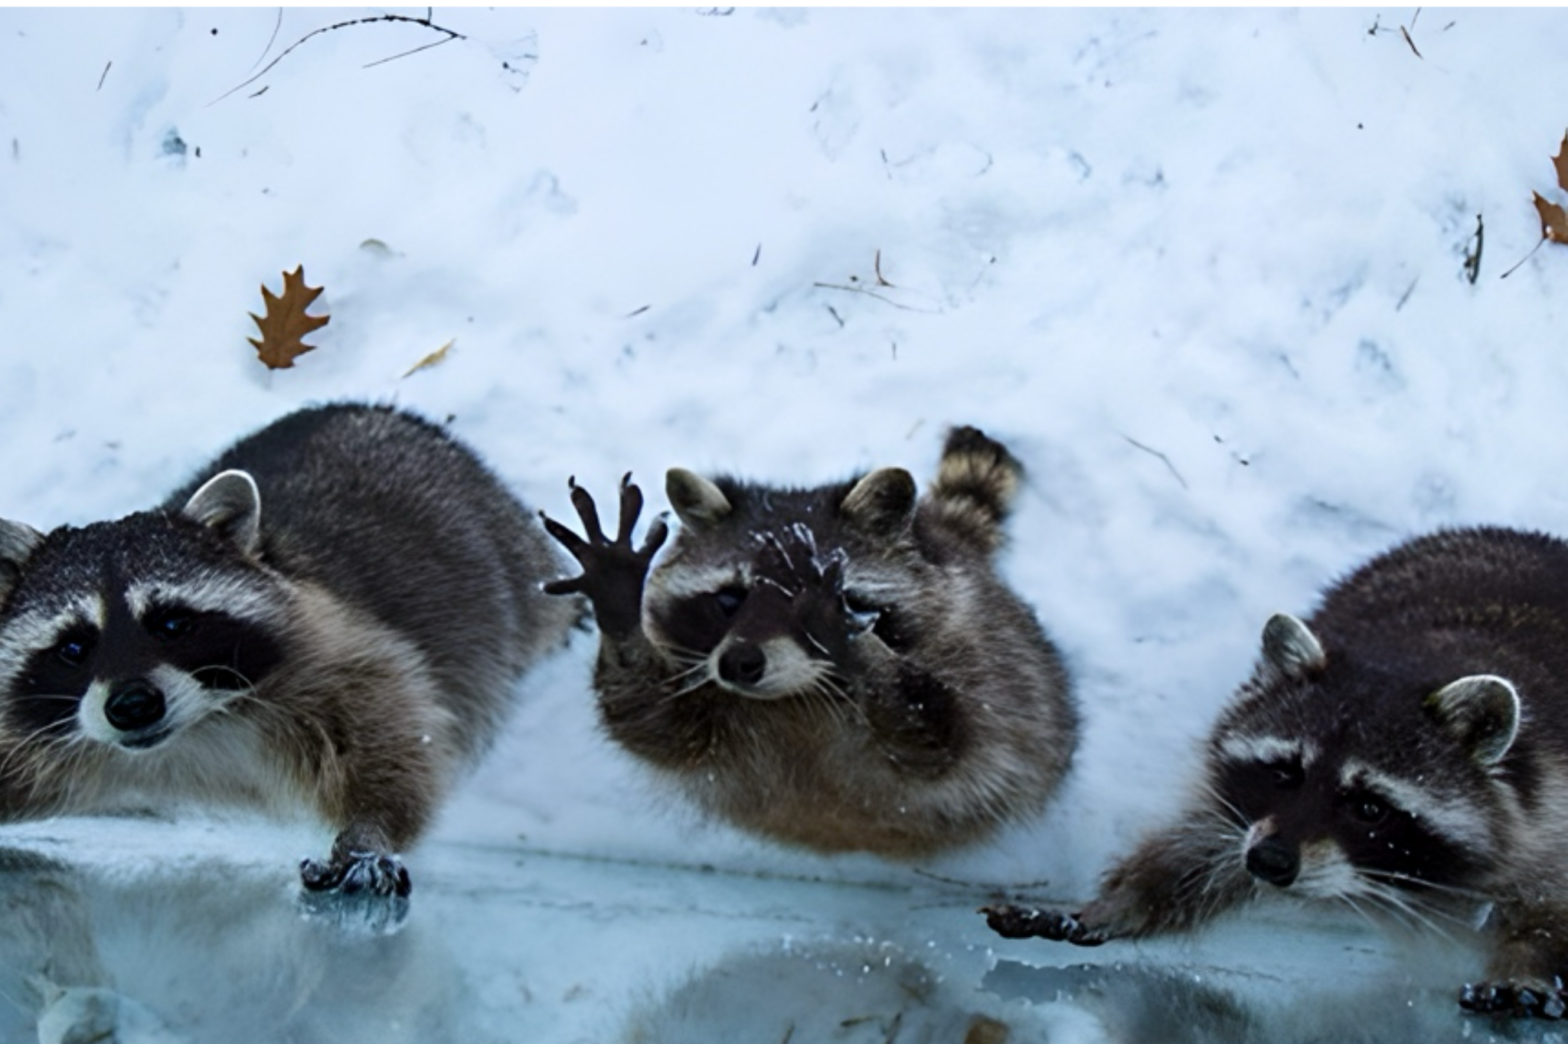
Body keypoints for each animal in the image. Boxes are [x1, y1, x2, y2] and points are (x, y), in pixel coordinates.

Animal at [0, 404, 570, 909]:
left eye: (172, 623)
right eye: (74, 647)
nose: (133, 705)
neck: (191, 733)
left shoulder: (347, 658)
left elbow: (395, 748)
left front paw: (368, 833)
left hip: (514, 553)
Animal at [542, 423, 1078, 852]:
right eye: (730, 600)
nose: (738, 664)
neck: (797, 700)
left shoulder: (981, 675)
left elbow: (940, 738)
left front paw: (862, 651)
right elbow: (653, 723)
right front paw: (619, 607)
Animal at [978, 523, 1568, 1009]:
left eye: (1369, 807)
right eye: (1284, 775)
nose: (1271, 862)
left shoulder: (1549, 805)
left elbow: (1551, 904)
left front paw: (1531, 965)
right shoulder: (1240, 811)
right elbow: (1195, 851)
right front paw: (1117, 903)